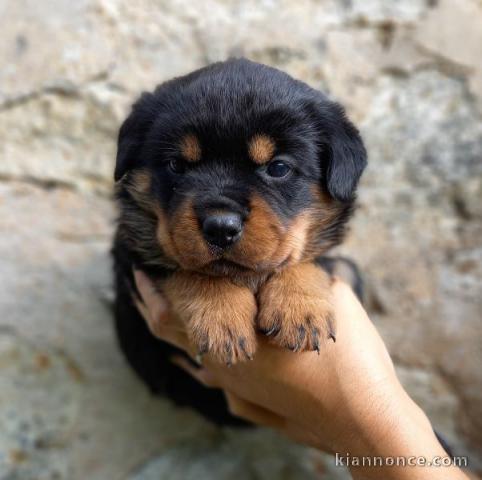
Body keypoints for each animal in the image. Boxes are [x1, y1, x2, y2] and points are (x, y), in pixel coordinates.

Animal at [113, 59, 368, 424]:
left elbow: (308, 261)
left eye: (278, 167)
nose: (221, 227)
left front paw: (300, 311)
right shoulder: (132, 251)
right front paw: (222, 320)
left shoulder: (338, 261)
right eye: (176, 165)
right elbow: (190, 270)